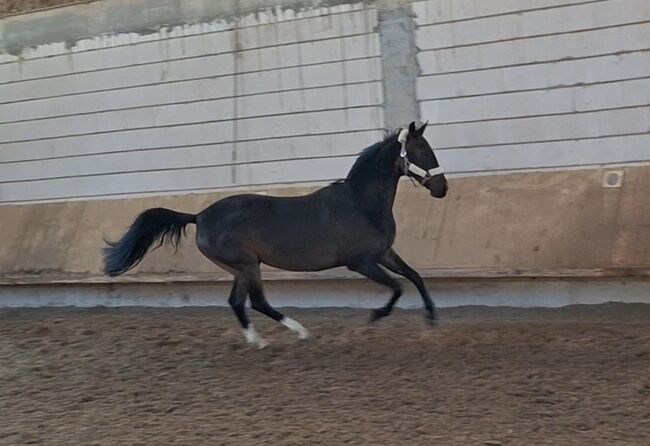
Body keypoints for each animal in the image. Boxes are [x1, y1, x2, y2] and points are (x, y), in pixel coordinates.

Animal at [104, 122, 448, 348]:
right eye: (422, 151)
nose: (442, 189)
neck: (361, 203)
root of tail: (199, 216)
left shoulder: (384, 253)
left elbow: (414, 277)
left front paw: (431, 320)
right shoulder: (361, 262)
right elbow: (397, 287)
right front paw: (375, 316)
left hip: (240, 268)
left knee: (237, 302)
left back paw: (258, 341)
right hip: (247, 265)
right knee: (257, 302)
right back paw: (300, 332)